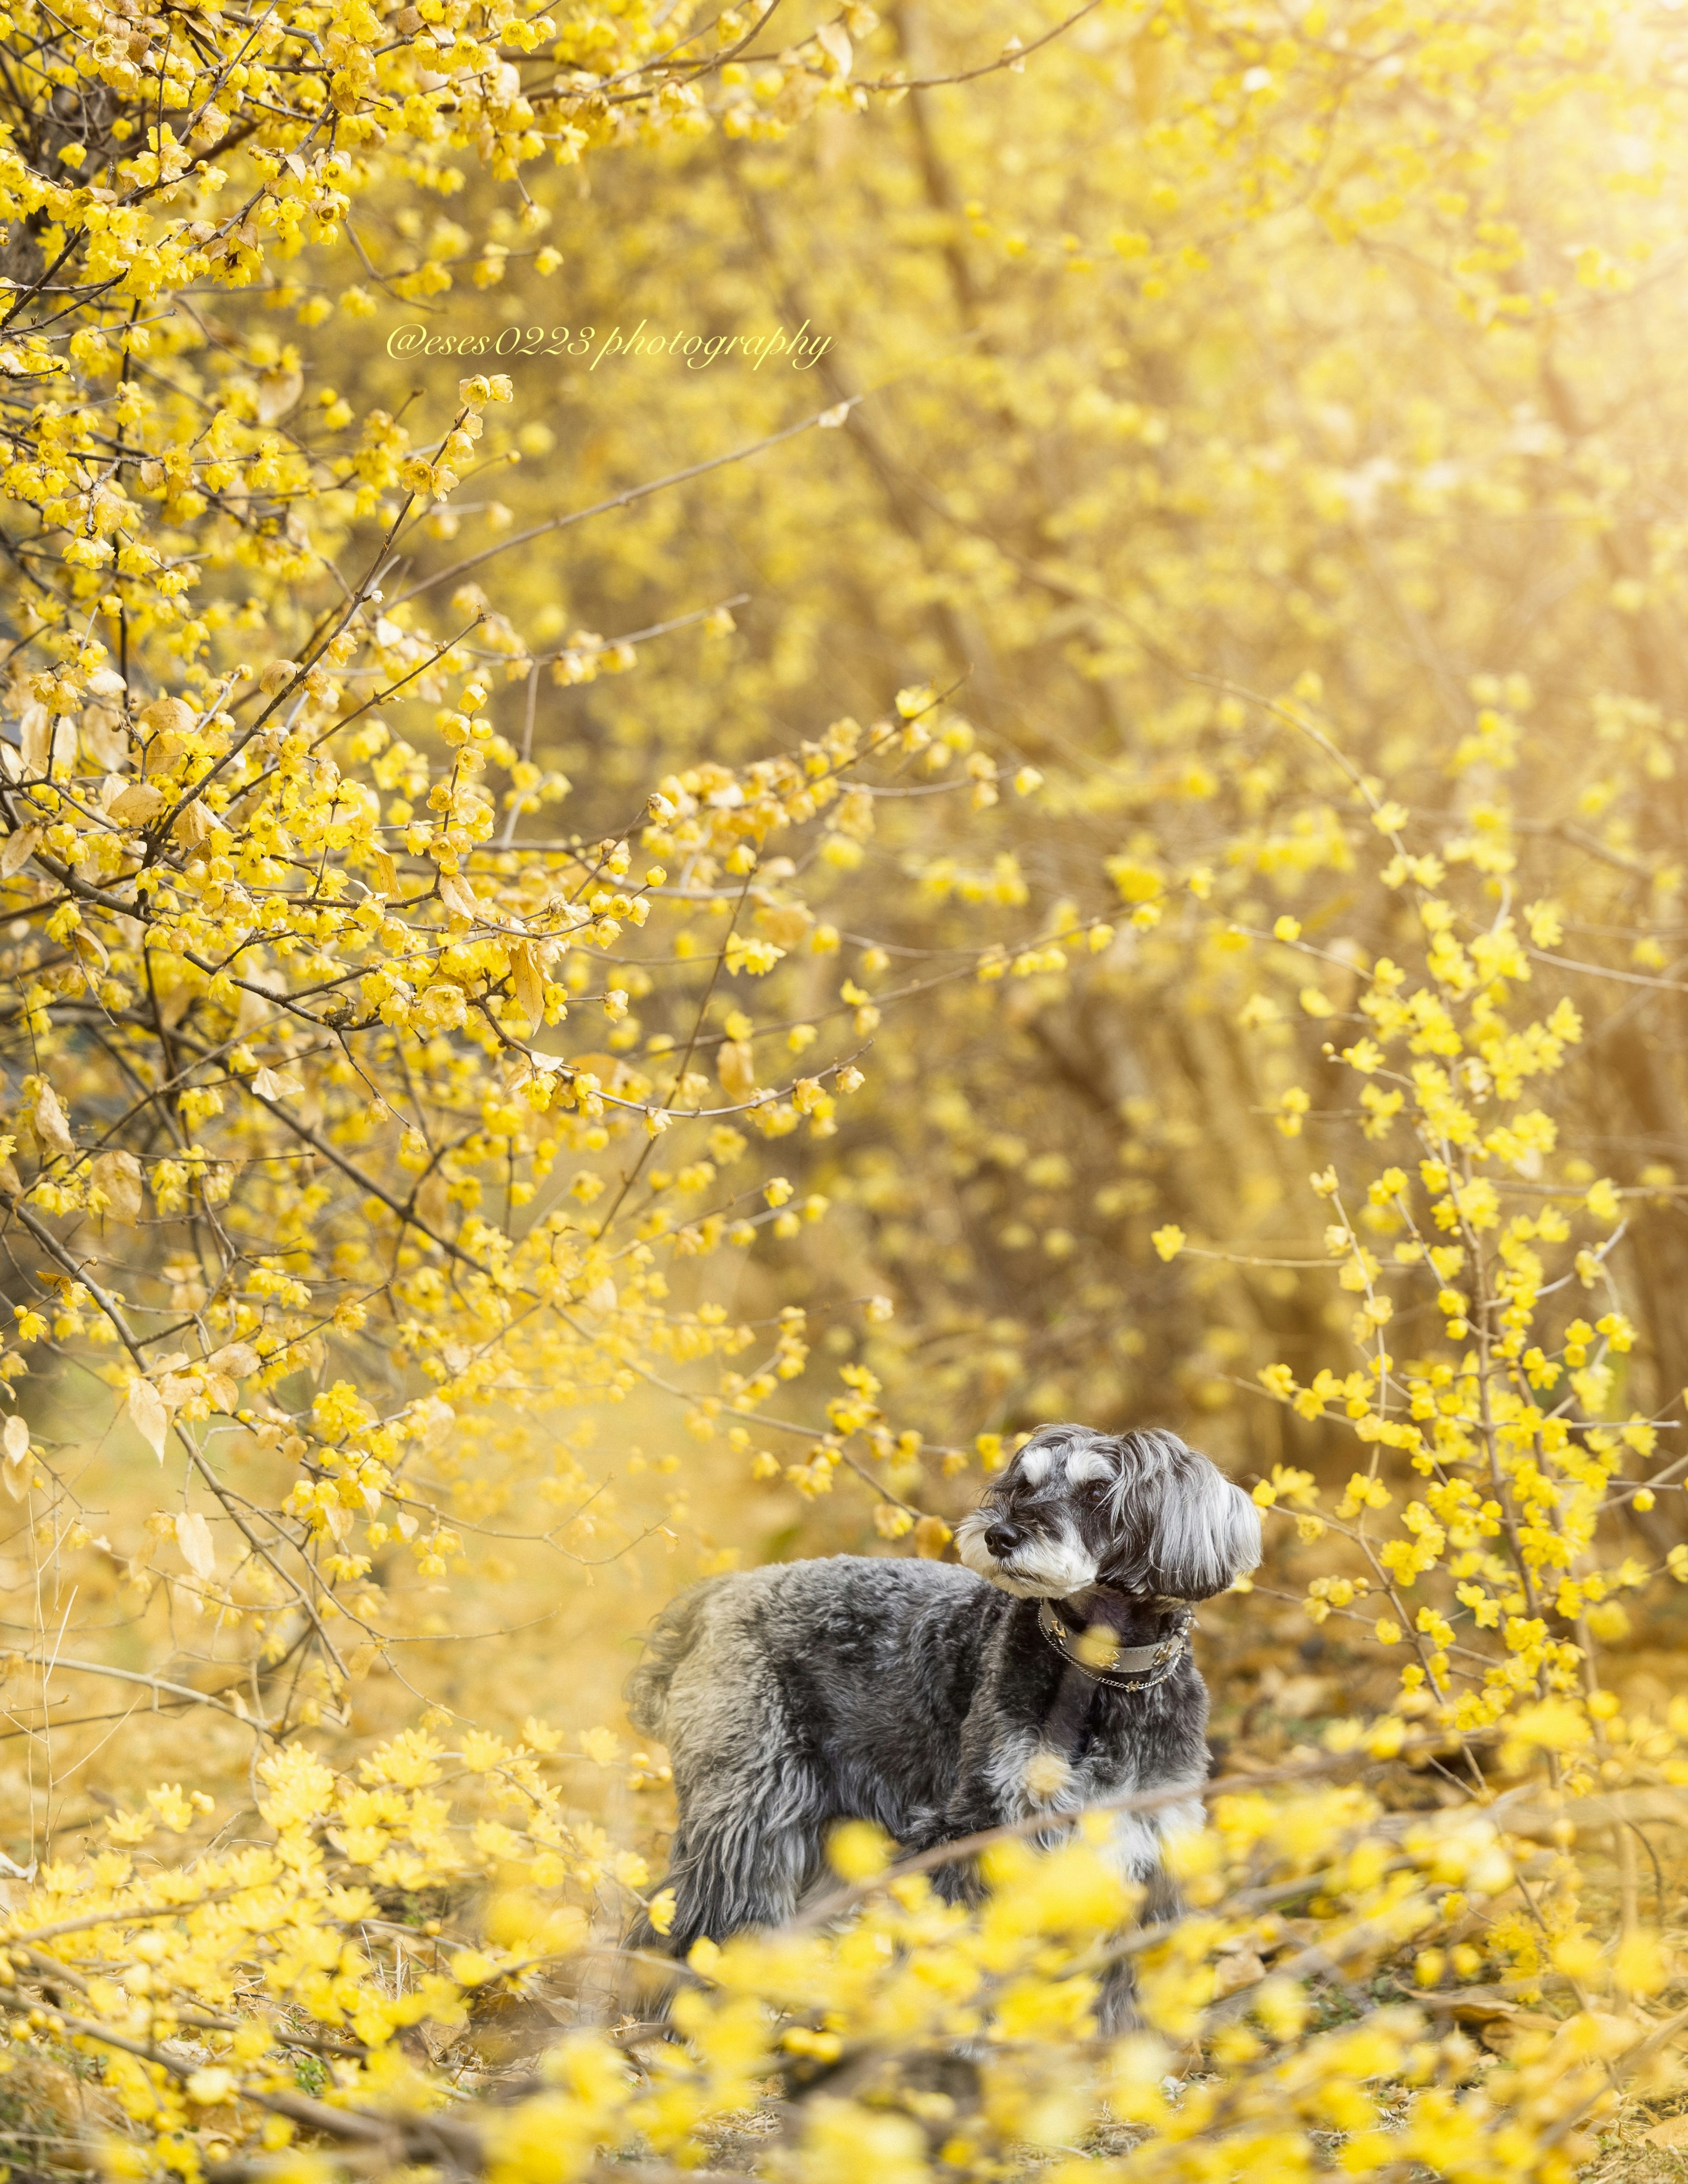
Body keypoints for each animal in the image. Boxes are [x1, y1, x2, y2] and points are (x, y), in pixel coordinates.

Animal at [624, 1424, 1258, 1974]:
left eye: (1099, 1490)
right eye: (1023, 1484)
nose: (1001, 1535)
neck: (1101, 1671)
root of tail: (715, 1597)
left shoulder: (1148, 1837)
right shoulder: (980, 1825)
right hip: (751, 1812)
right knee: (700, 1917)